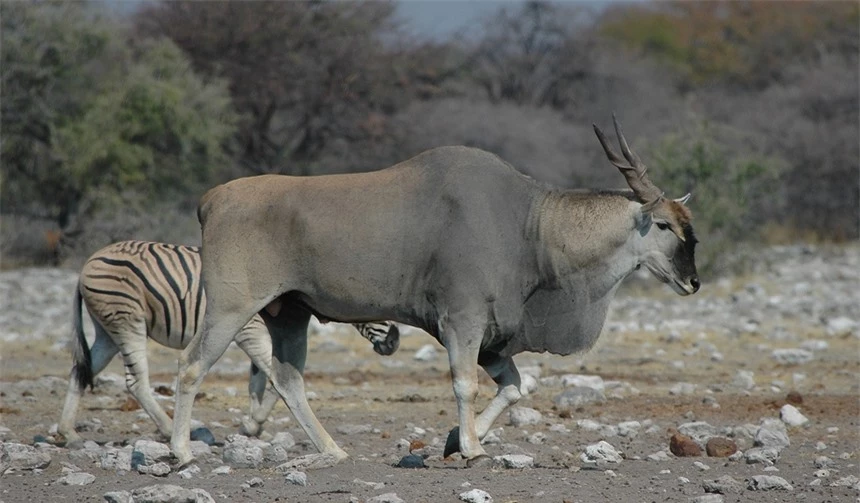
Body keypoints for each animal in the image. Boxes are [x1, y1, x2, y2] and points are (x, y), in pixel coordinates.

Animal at [170, 117, 700, 468]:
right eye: (665, 225)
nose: (693, 281)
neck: (530, 224)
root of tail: (211, 199)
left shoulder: (492, 340)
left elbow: (513, 388)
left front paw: (455, 440)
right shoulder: (462, 323)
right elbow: (466, 384)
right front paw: (471, 448)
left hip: (289, 314)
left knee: (287, 378)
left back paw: (333, 449)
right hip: (231, 309)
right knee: (192, 366)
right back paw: (179, 452)